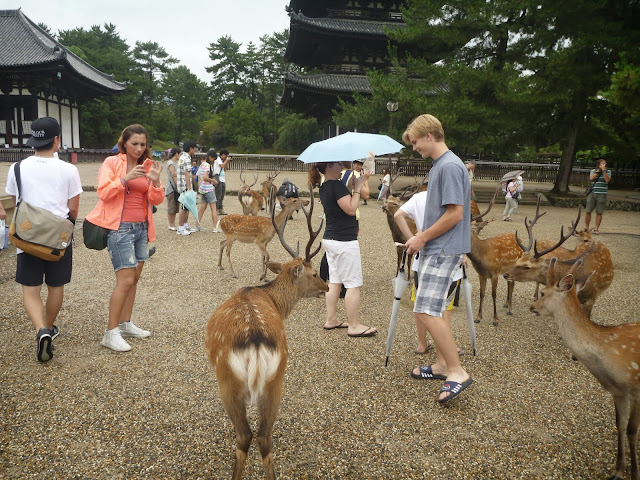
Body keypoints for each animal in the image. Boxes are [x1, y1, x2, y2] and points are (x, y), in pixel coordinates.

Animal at [205, 188, 328, 480]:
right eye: (314, 273)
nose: (327, 287)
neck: (271, 299)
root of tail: (256, 347)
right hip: (274, 382)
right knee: (262, 437)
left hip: (235, 384)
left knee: (247, 437)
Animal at [528, 258, 640, 480]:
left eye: (543, 293)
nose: (532, 306)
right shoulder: (618, 392)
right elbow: (620, 425)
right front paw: (618, 471)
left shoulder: (637, 390)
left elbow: (632, 430)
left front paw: (635, 473)